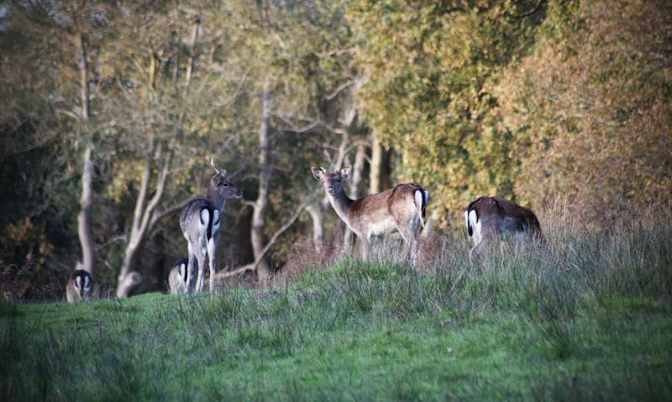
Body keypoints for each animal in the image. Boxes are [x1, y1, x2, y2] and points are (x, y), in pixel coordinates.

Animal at [178, 159, 242, 294]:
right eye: (226, 183)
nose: (240, 192)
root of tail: (210, 210)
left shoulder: (189, 240)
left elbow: (191, 266)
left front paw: (187, 291)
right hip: (215, 235)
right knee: (212, 261)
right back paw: (212, 290)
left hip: (196, 236)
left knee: (201, 260)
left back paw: (196, 291)